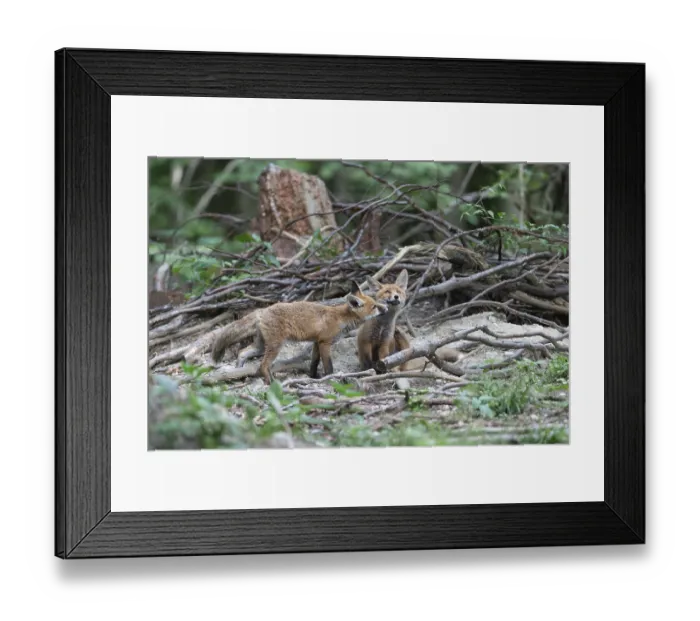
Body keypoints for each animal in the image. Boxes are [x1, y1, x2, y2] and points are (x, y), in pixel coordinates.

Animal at [210, 282, 388, 384]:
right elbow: (328, 366)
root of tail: (262, 310)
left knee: (242, 352)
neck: (340, 318)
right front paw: (329, 378)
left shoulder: (316, 342)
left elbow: (314, 363)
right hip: (275, 346)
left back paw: (238, 371)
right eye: (374, 307)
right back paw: (270, 382)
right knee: (262, 366)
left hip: (261, 346)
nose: (386, 308)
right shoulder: (325, 342)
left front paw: (313, 377)